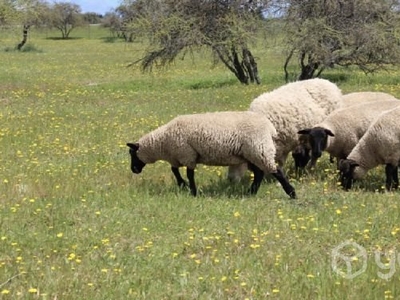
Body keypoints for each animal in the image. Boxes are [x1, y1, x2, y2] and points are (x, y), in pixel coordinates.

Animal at [126, 111, 296, 198]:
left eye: (132, 153)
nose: (134, 170)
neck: (163, 142)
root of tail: (269, 127)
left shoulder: (187, 154)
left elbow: (189, 174)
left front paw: (192, 191)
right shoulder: (179, 156)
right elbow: (174, 170)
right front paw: (182, 184)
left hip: (259, 149)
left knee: (275, 170)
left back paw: (292, 193)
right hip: (250, 154)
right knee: (260, 173)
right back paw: (251, 193)